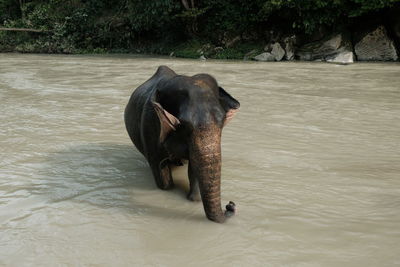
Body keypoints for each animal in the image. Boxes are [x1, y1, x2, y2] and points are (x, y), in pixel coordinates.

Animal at [123, 65, 239, 224]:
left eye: (222, 122)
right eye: (183, 125)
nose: (230, 204)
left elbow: (194, 168)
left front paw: (193, 198)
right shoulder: (151, 127)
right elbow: (163, 178)